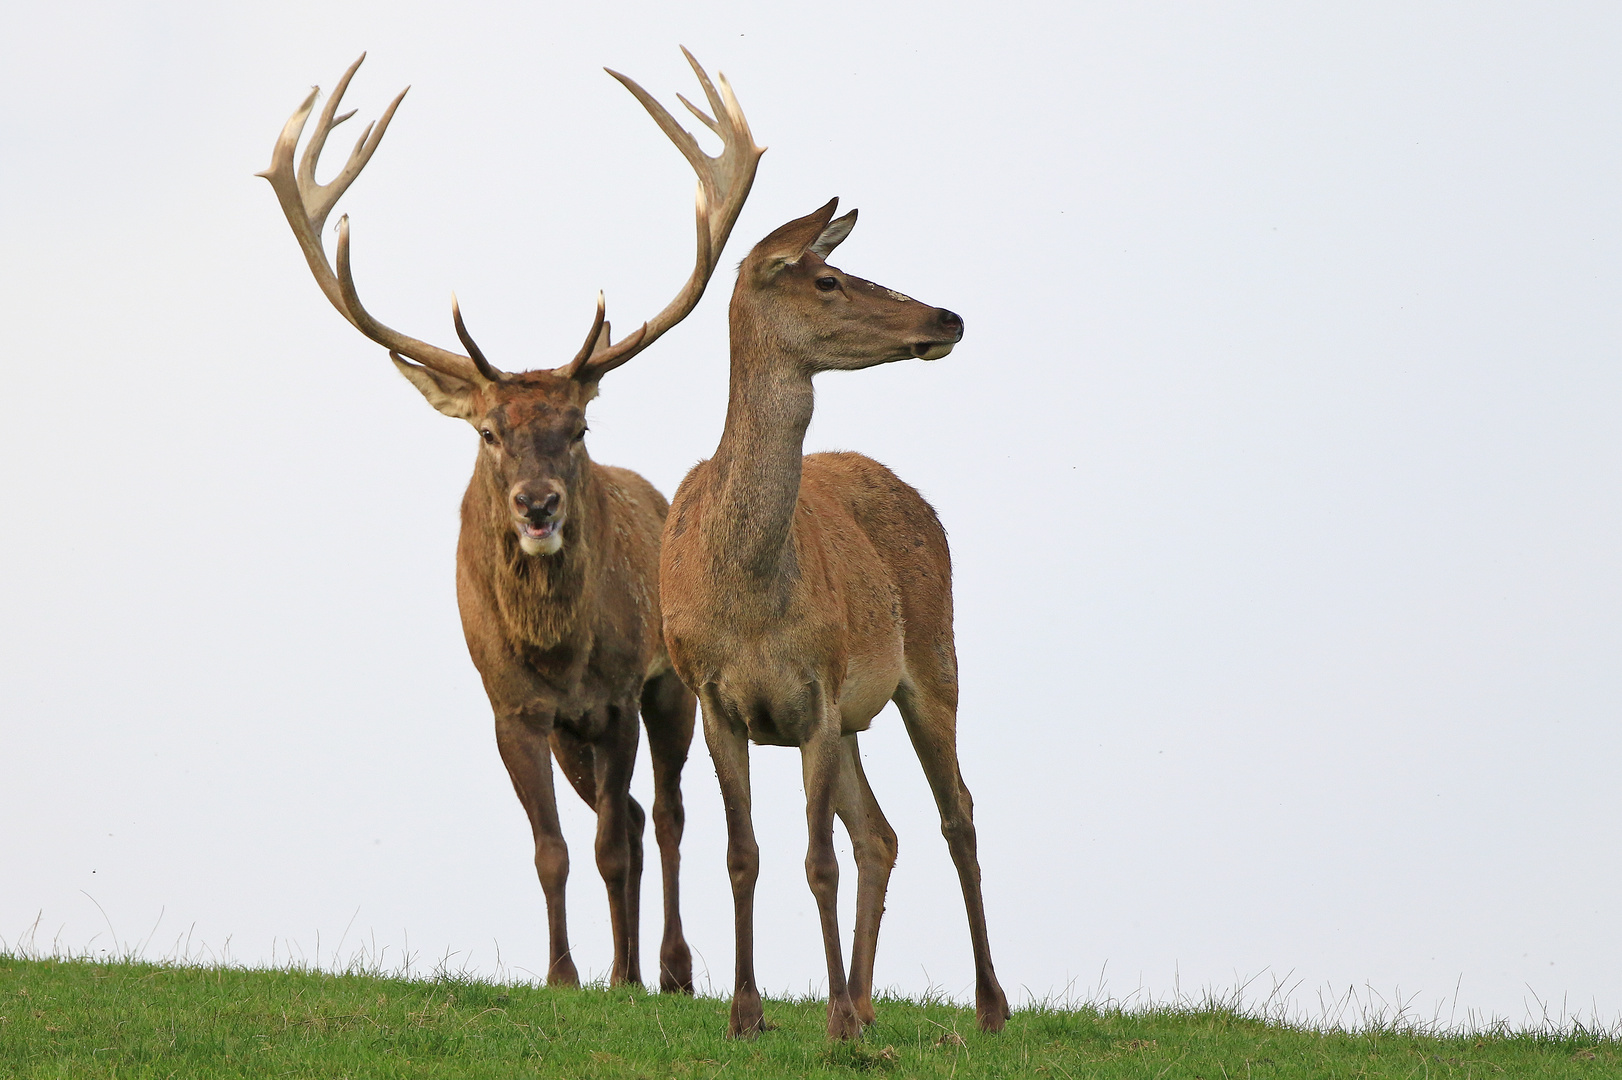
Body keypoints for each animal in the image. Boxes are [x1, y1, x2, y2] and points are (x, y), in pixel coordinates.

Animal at [261, 52, 765, 992]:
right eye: (488, 432)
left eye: (581, 428)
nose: (538, 504)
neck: (557, 652)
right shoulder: (513, 709)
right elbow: (552, 851)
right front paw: (564, 977)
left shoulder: (615, 695)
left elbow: (609, 843)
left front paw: (618, 978)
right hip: (576, 734)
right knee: (630, 816)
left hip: (672, 683)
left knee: (666, 816)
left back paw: (668, 968)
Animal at [655, 197, 1005, 1031]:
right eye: (827, 279)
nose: (947, 317)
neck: (746, 596)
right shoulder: (716, 699)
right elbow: (742, 855)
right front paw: (747, 1012)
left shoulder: (816, 689)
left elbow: (816, 861)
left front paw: (835, 1021)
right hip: (854, 717)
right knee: (880, 834)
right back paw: (871, 1002)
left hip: (933, 662)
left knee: (958, 813)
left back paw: (988, 1005)